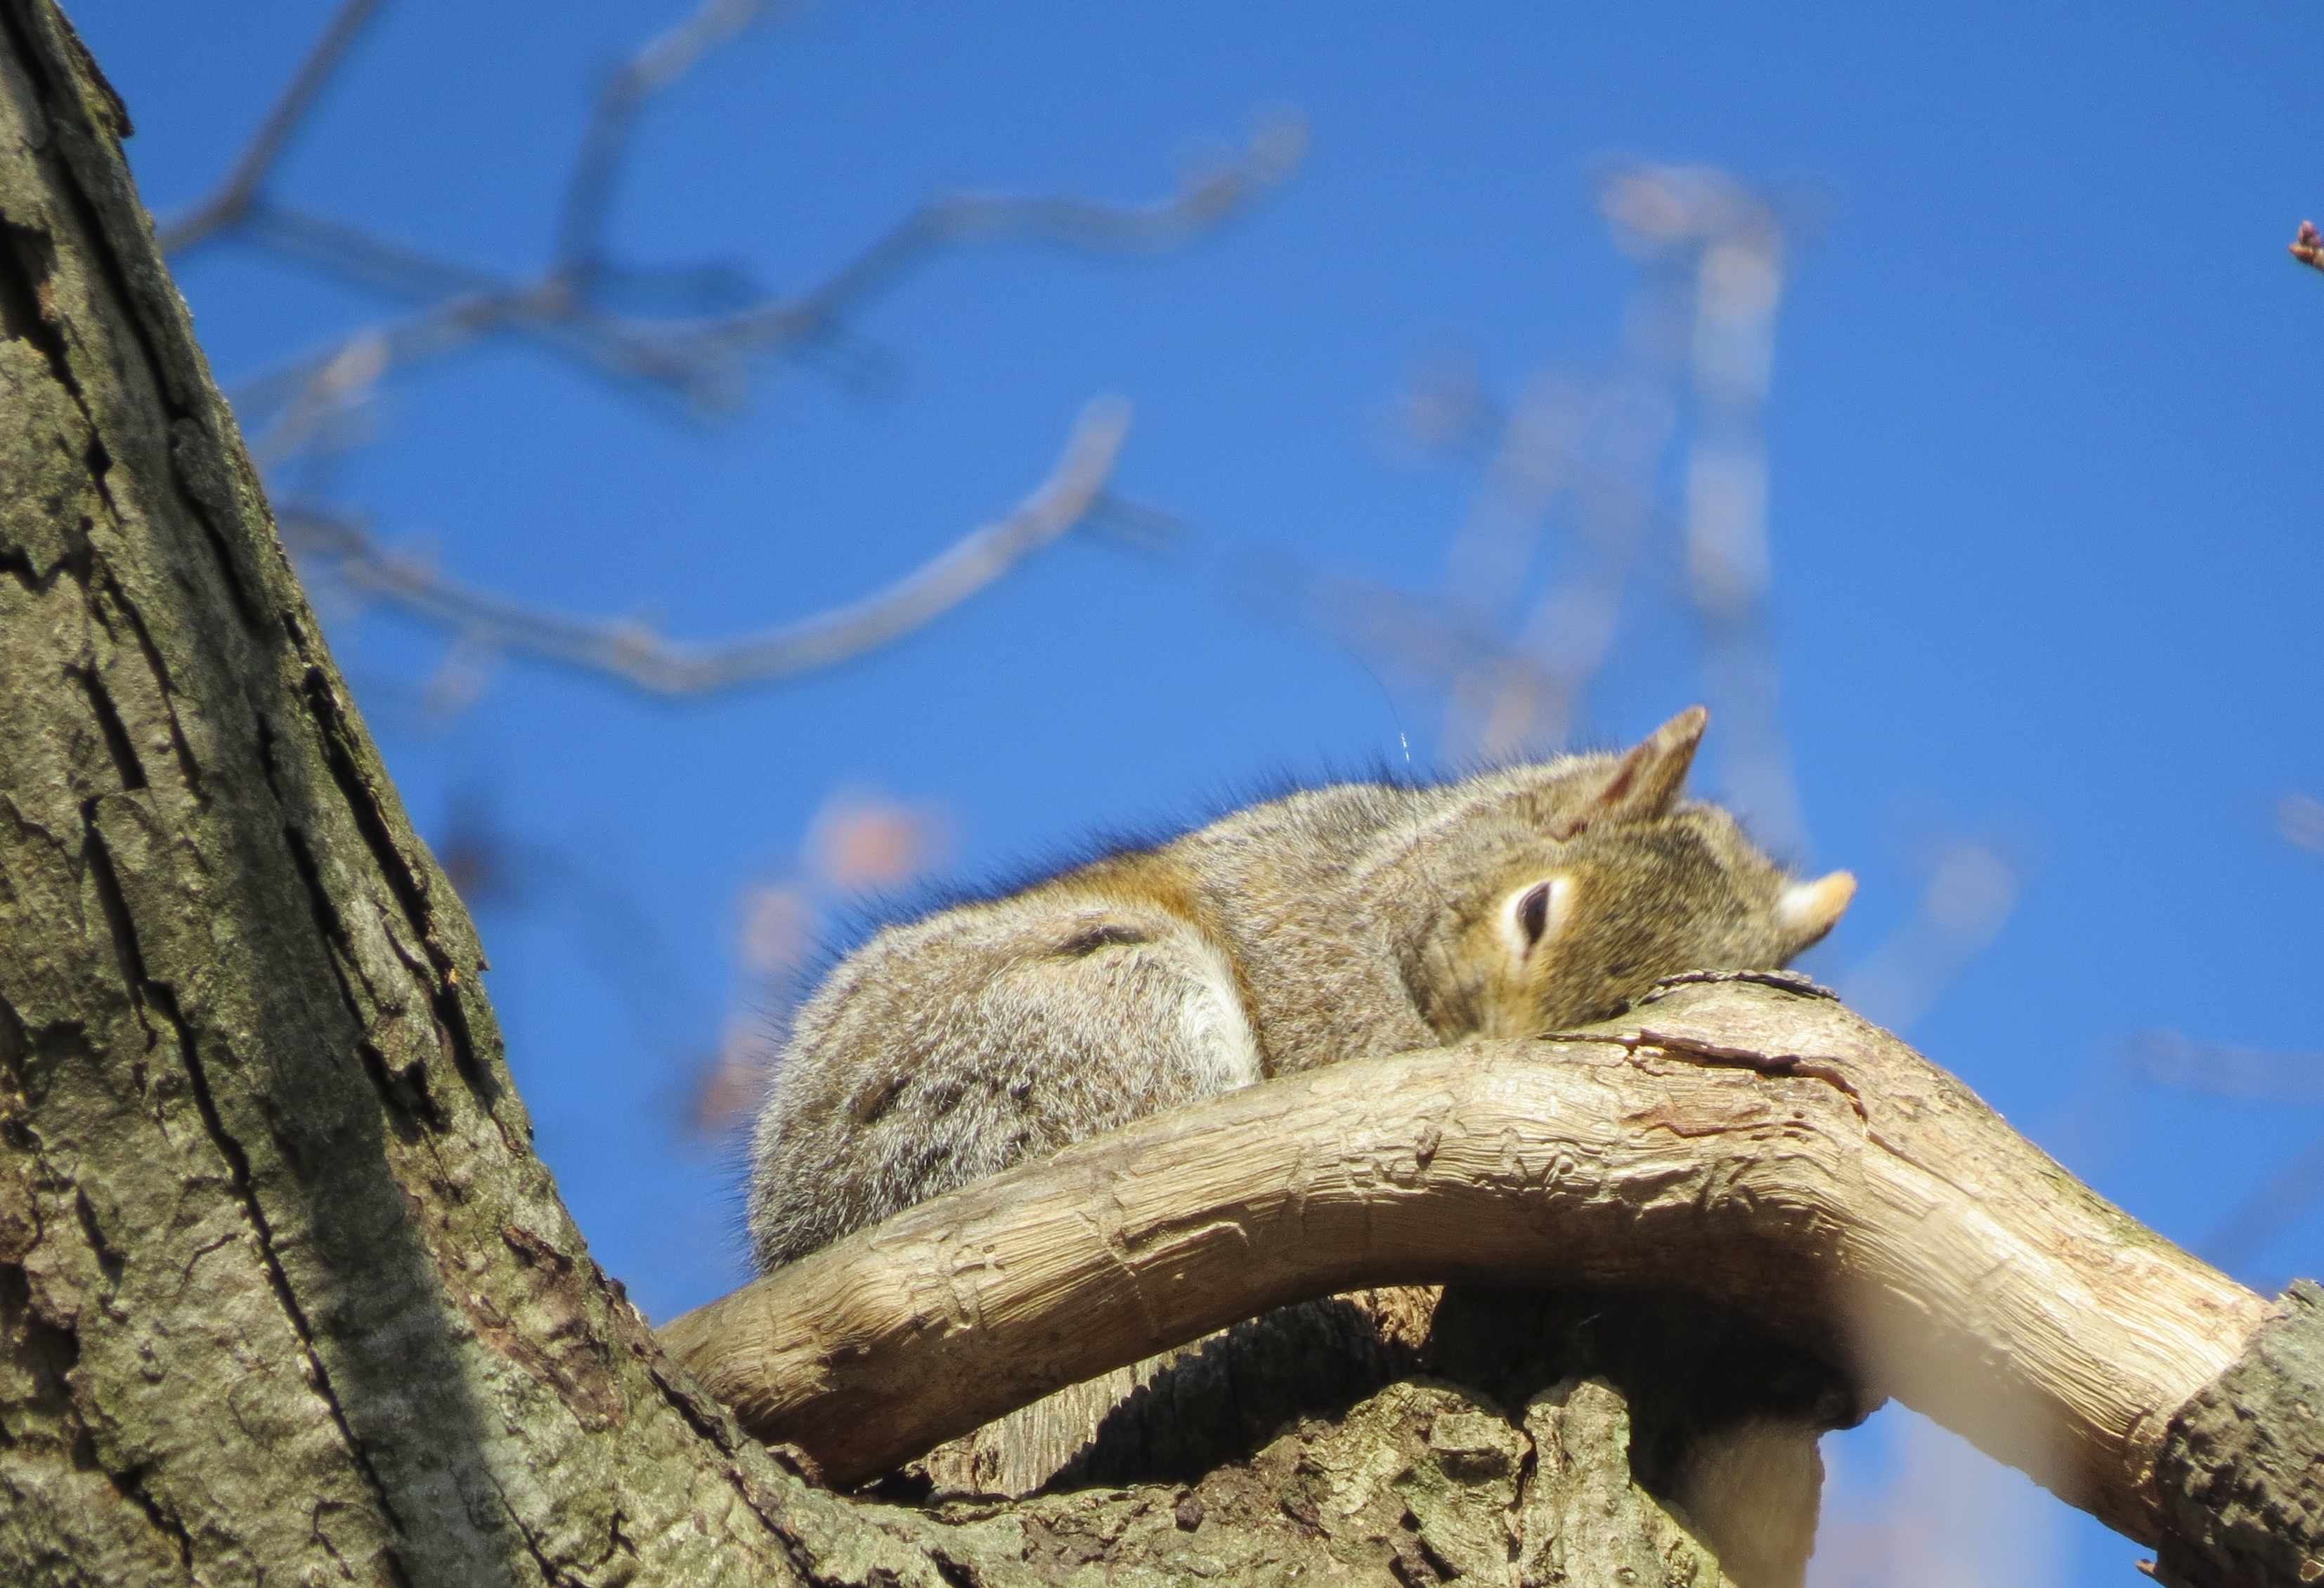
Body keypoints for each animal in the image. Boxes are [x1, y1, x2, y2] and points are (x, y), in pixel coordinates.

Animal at [745, 706, 1856, 1586]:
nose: (1504, 1064)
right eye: (1534, 908)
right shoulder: (1319, 965)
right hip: (1092, 1029)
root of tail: (800, 1236)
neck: (1402, 873)